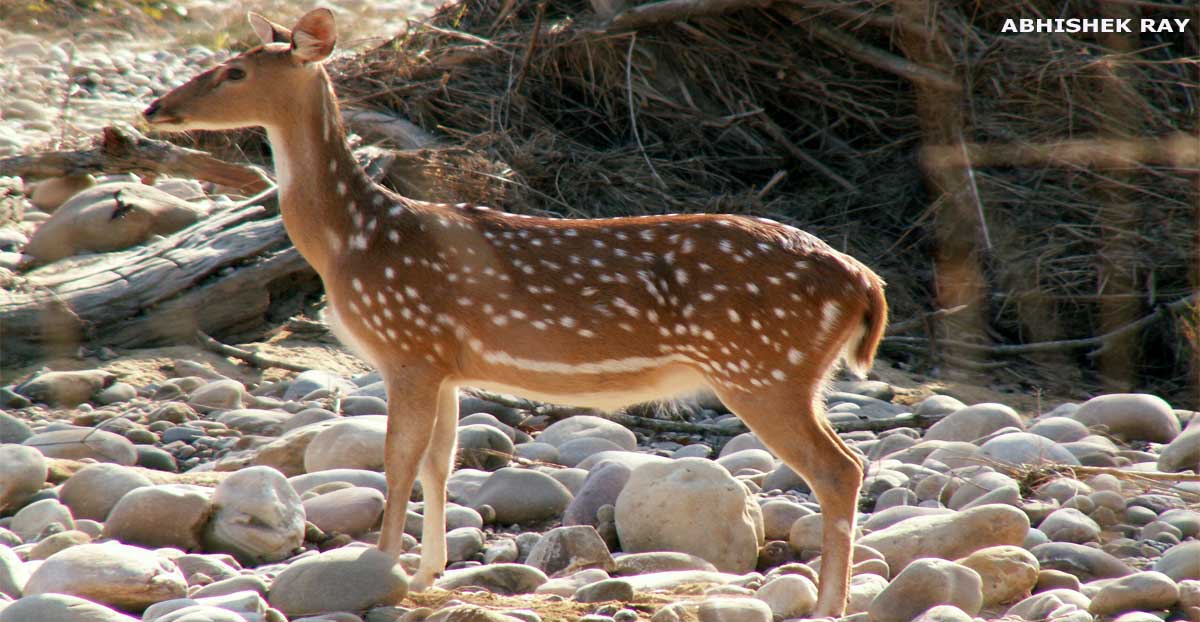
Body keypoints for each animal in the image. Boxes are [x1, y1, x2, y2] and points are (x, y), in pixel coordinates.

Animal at [145, 7, 888, 614]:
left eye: (234, 71)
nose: (155, 107)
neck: (352, 242)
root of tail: (864, 282)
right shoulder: (444, 362)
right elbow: (438, 462)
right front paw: (426, 572)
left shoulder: (407, 344)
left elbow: (397, 459)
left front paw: (379, 567)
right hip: (781, 371)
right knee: (846, 465)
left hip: (762, 366)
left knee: (840, 469)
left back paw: (831, 605)